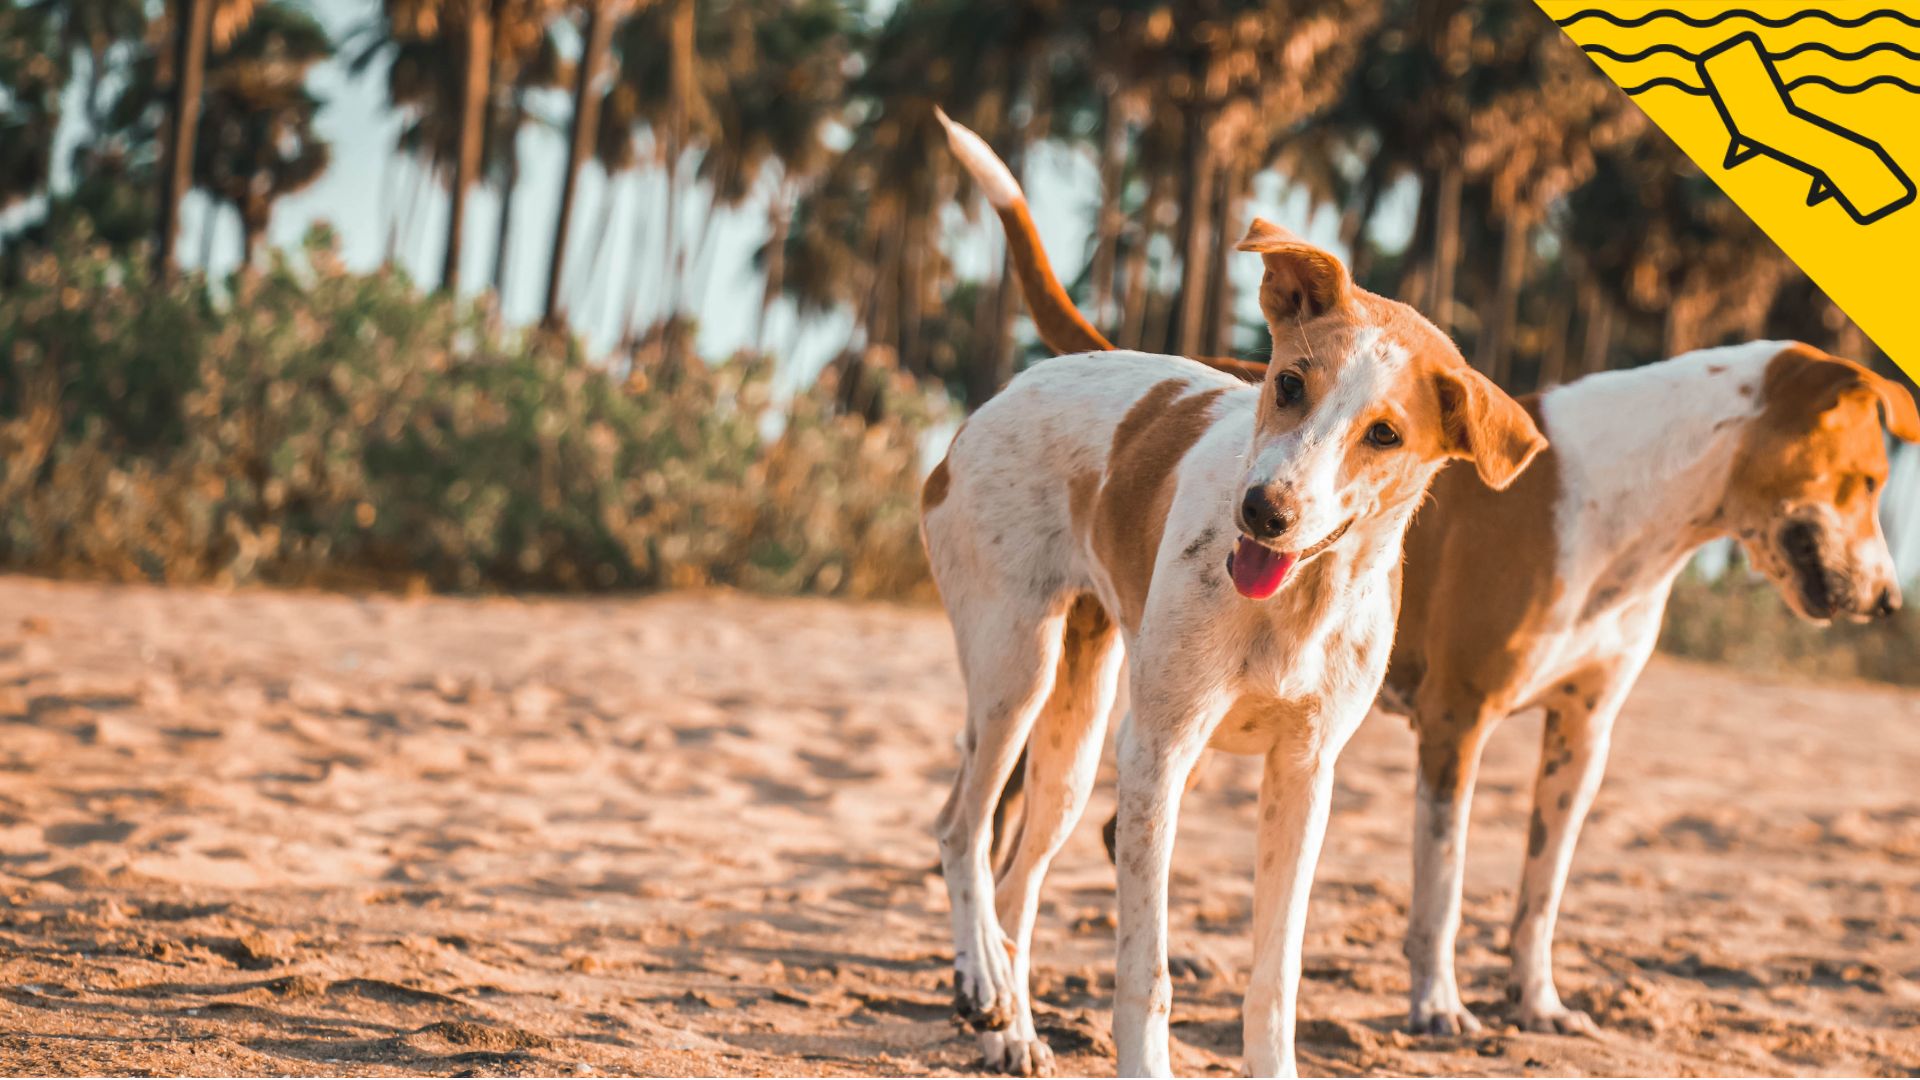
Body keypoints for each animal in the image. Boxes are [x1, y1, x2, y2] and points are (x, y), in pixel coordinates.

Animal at [925, 107, 1543, 1068]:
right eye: (1287, 384)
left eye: (1385, 434)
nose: (1263, 511)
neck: (1295, 607)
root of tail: (1038, 374)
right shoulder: (1159, 756)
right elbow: (1146, 973)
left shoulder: (1305, 775)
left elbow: (1274, 976)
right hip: (1017, 674)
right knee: (961, 832)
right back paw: (984, 983)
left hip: (1076, 737)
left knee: (1017, 881)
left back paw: (1012, 1029)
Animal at [967, 151, 1920, 1037]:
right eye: (1868, 481)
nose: (1887, 603)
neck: (1626, 498)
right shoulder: (1457, 719)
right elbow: (1444, 882)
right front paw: (1437, 1003)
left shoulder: (1585, 730)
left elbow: (1542, 888)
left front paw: (1536, 1001)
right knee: (1017, 822)